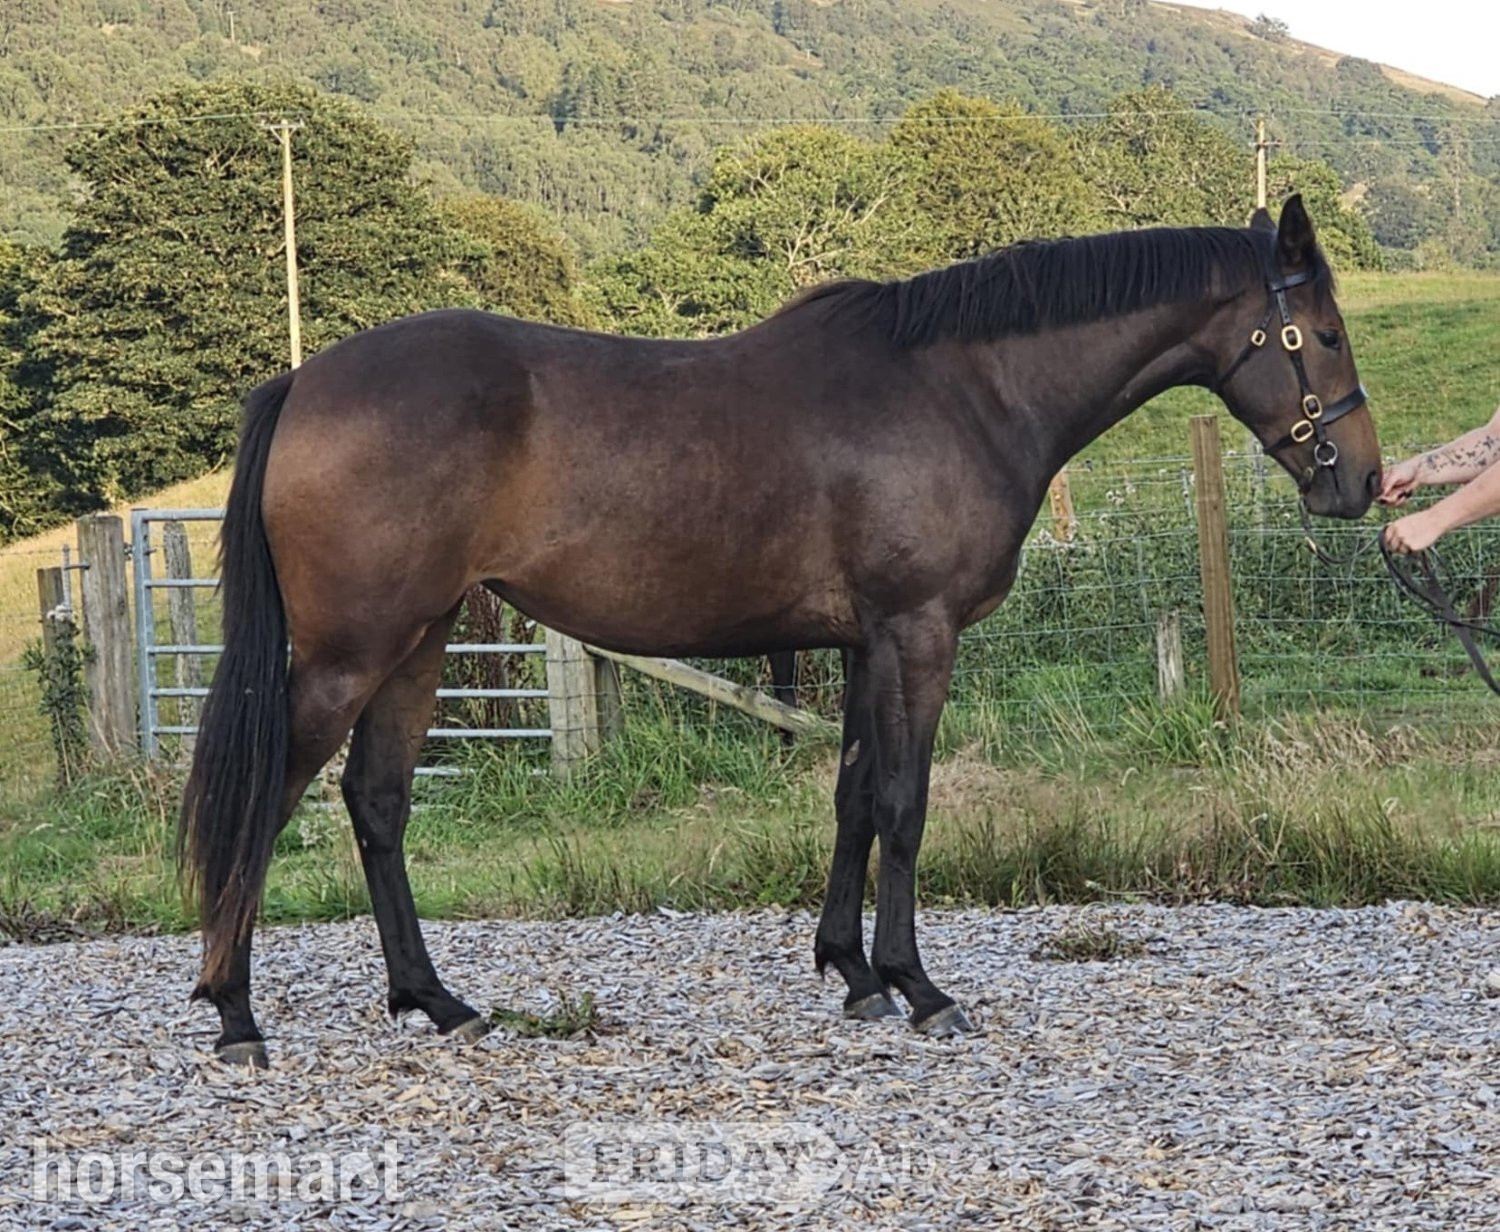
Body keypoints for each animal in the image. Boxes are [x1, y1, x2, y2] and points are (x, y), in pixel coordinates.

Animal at [179, 195, 1380, 1067]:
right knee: (268, 801)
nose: (1362, 481)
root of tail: (302, 382)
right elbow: (904, 803)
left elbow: (851, 798)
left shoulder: (860, 643)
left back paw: (435, 1000)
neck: (967, 389)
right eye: (1320, 334)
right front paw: (919, 986)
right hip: (349, 654)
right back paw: (236, 1013)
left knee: (376, 805)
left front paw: (852, 972)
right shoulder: (917, 632)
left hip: (419, 641)